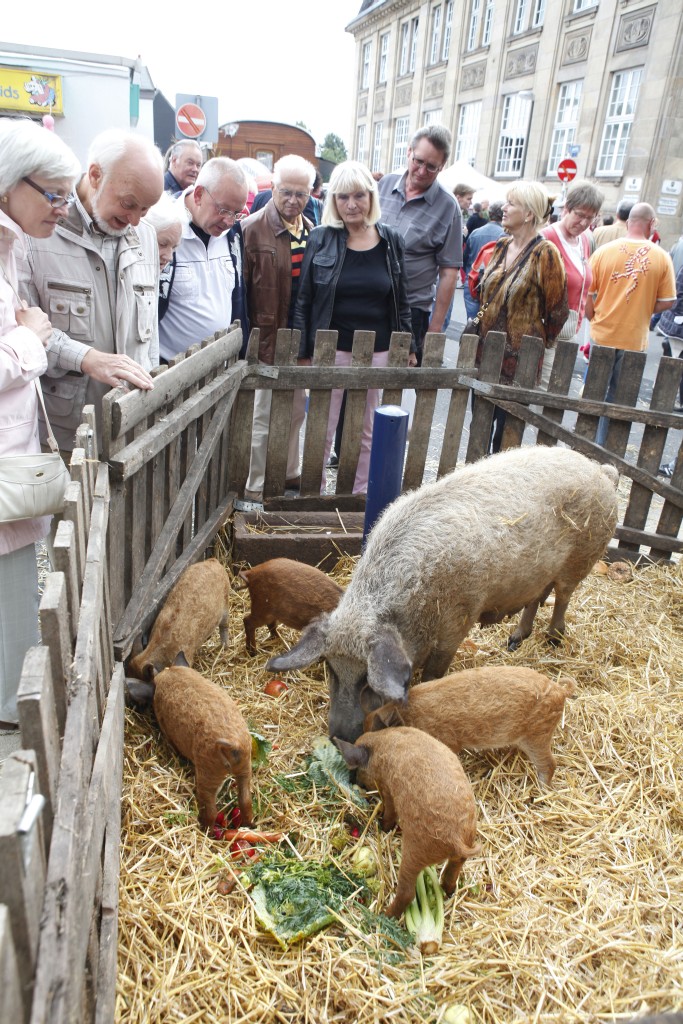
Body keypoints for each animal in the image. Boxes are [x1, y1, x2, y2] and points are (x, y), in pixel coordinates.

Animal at [153, 663, 253, 830]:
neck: (171, 674)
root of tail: (234, 743)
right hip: (246, 765)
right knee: (245, 799)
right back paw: (250, 825)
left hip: (208, 772)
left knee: (211, 809)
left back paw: (205, 829)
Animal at [267, 446, 618, 742]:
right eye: (330, 668)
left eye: (367, 679)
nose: (338, 736)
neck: (415, 610)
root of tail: (600, 469)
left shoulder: (459, 619)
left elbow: (435, 672)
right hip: (541, 570)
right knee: (537, 597)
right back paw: (514, 641)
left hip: (582, 557)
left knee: (563, 596)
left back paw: (554, 640)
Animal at [335, 727, 480, 917]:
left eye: (359, 770)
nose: (357, 782)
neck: (379, 745)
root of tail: (456, 839)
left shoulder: (387, 788)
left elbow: (389, 811)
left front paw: (383, 826)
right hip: (465, 844)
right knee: (452, 872)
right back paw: (448, 892)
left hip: (415, 851)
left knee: (407, 893)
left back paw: (384, 916)